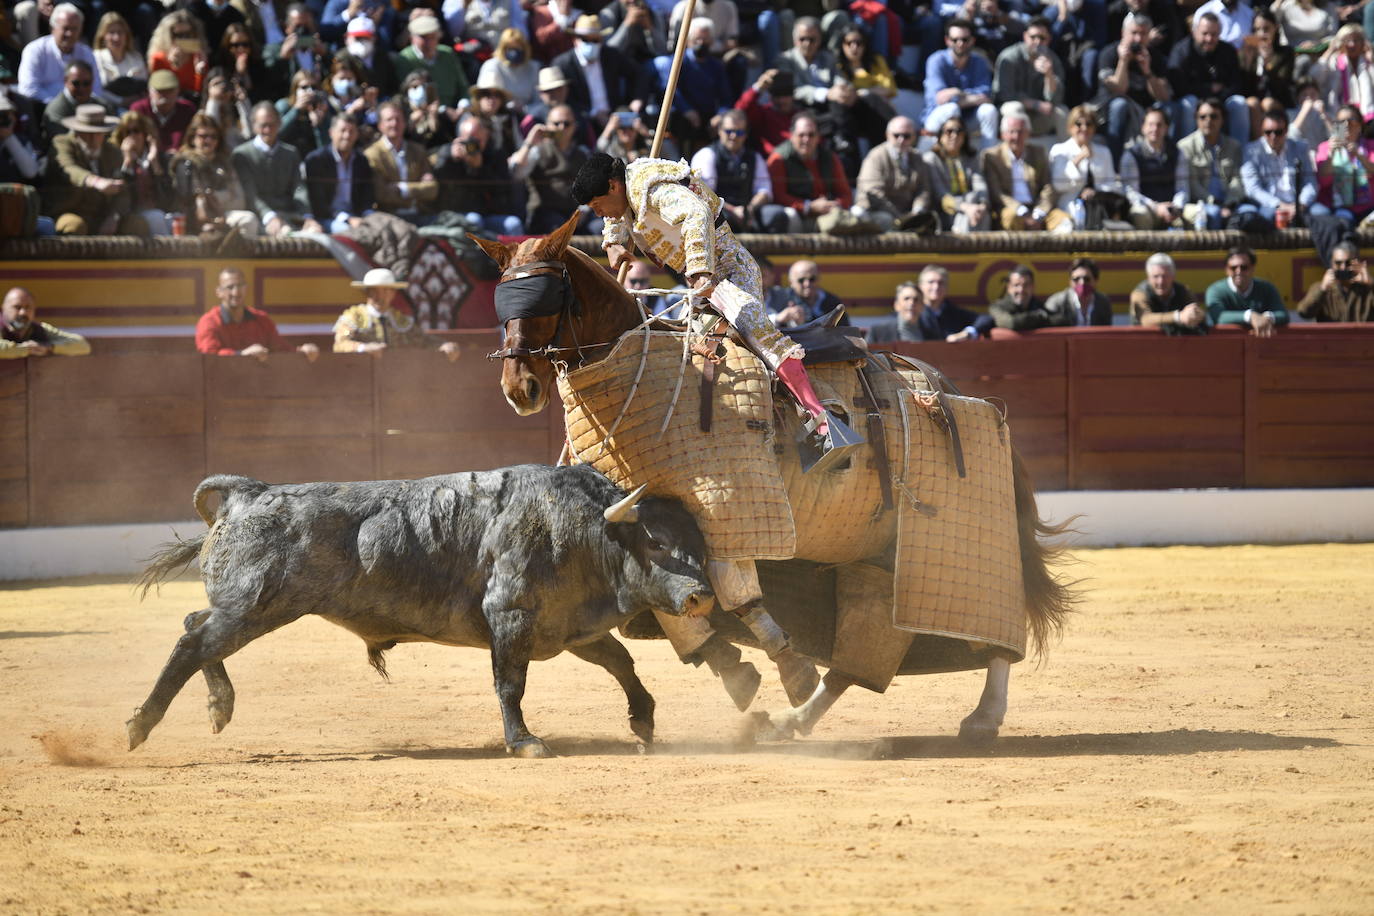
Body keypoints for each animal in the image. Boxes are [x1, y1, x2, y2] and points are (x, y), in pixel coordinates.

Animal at [129, 466, 714, 758]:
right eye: (657, 543)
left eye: (700, 546)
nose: (700, 597)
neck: (583, 527)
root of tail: (247, 494)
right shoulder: (511, 616)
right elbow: (510, 685)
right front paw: (525, 742)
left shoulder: (566, 626)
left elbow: (619, 662)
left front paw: (644, 720)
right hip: (256, 606)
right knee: (193, 642)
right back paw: (140, 726)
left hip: (243, 607)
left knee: (196, 628)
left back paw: (218, 708)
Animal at [469, 215, 1071, 747]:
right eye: (503, 303)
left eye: (544, 298)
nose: (519, 388)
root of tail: (953, 389)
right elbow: (674, 602)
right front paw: (733, 667)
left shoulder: (725, 510)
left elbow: (736, 594)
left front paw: (777, 667)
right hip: (874, 555)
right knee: (870, 643)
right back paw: (792, 721)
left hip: (964, 531)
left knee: (996, 620)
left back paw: (983, 717)